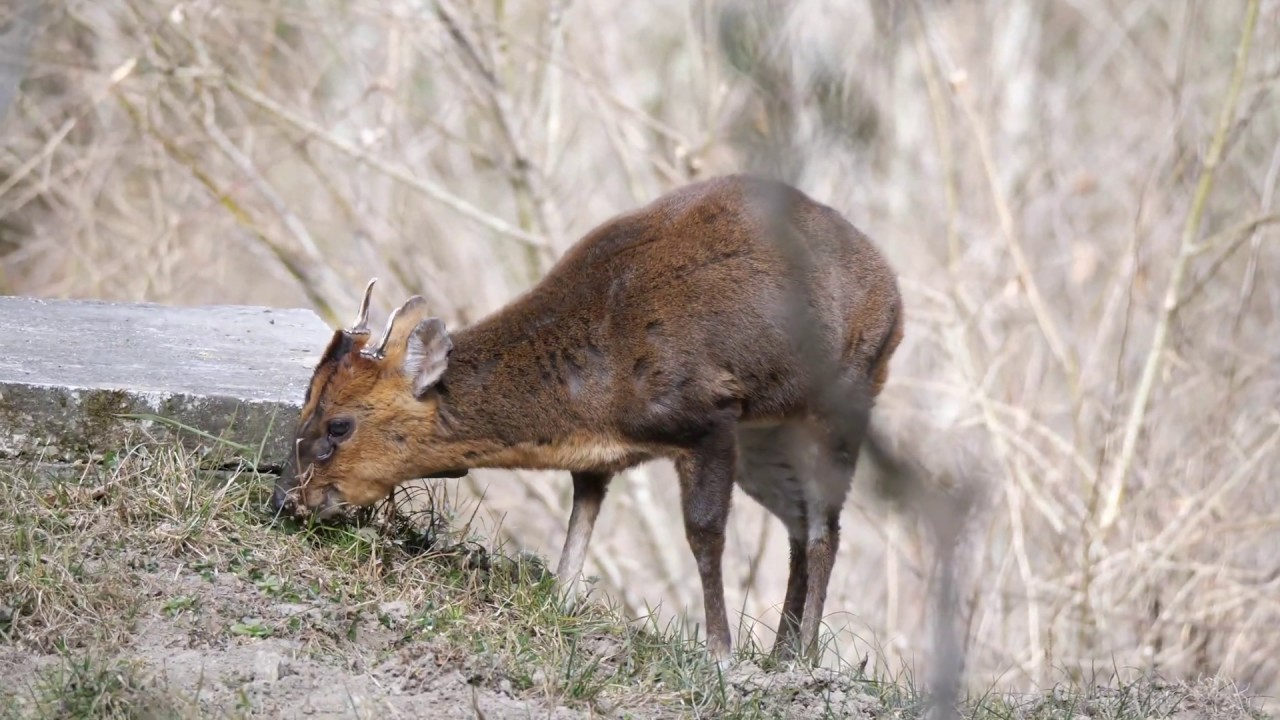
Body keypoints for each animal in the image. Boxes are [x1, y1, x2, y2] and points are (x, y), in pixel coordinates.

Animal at [272, 172, 901, 661]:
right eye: (306, 401)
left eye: (339, 424)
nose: (284, 499)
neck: (596, 392)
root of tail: (894, 290)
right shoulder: (599, 460)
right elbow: (580, 526)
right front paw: (559, 602)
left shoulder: (710, 414)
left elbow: (704, 533)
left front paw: (719, 653)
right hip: (769, 437)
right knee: (798, 523)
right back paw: (781, 652)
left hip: (848, 395)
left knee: (823, 528)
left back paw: (803, 657)